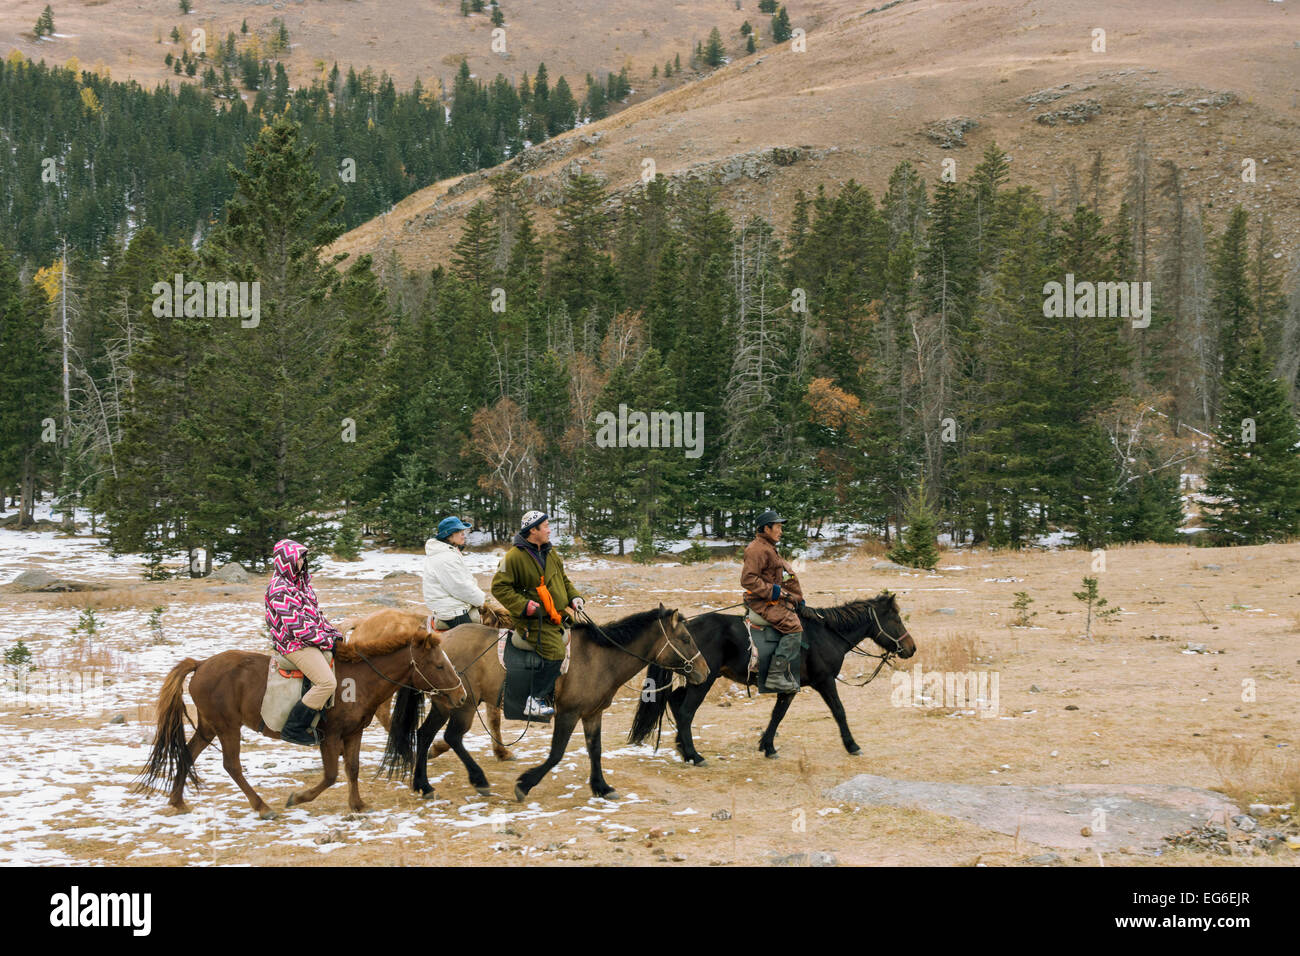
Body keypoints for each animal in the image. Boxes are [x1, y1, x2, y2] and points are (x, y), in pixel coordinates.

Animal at [131, 608, 465, 816]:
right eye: (439, 665)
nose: (461, 696)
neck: (360, 678)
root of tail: (201, 664)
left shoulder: (353, 733)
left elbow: (352, 769)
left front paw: (358, 805)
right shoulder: (330, 736)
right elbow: (331, 775)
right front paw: (299, 798)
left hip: (210, 726)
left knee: (189, 752)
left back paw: (177, 801)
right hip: (227, 727)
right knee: (231, 765)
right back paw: (262, 807)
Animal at [626, 595, 915, 764]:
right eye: (896, 618)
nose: (911, 648)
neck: (826, 634)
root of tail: (684, 630)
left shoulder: (789, 688)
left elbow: (778, 714)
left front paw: (767, 746)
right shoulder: (825, 682)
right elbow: (839, 711)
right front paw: (852, 745)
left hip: (696, 679)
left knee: (675, 702)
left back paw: (684, 751)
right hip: (704, 681)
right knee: (686, 711)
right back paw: (695, 756)